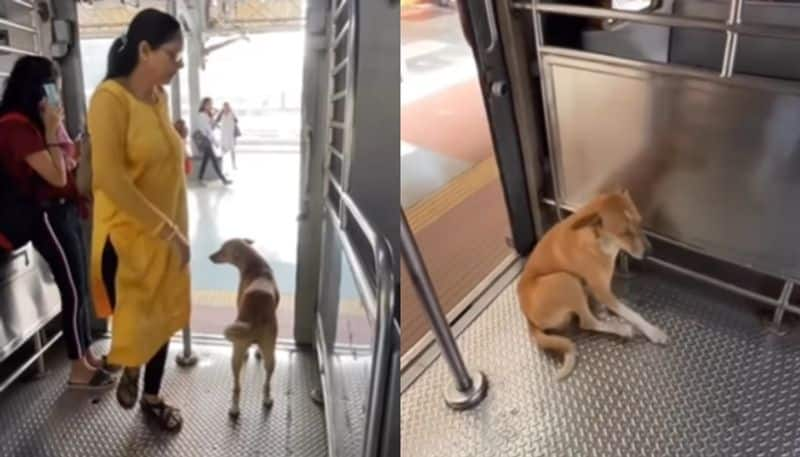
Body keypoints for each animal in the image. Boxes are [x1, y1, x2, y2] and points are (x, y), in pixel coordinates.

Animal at [209, 237, 282, 418]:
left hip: (236, 354)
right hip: (271, 353)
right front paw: (257, 352)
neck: (255, 265)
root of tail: (255, 316)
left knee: (237, 386)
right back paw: (267, 399)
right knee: (267, 381)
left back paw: (234, 408)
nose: (210, 256)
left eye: (222, 249)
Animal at [516, 188, 664, 378]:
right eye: (624, 233)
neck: (599, 239)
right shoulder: (603, 291)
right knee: (587, 322)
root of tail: (529, 319)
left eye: (640, 222)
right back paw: (620, 329)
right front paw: (653, 331)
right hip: (566, 281)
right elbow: (633, 314)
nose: (649, 252)